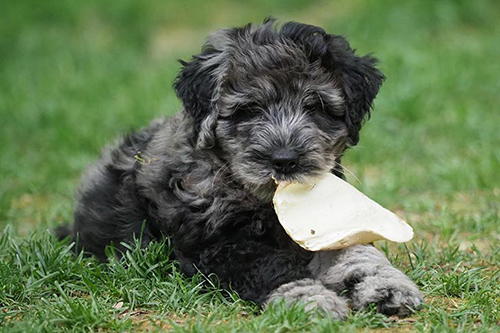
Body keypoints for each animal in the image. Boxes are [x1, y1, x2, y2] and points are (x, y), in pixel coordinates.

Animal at [59, 18, 426, 320]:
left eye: (316, 106)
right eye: (249, 109)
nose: (284, 160)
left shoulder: (325, 228)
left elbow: (358, 251)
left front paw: (389, 286)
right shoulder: (221, 247)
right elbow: (276, 269)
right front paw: (311, 301)